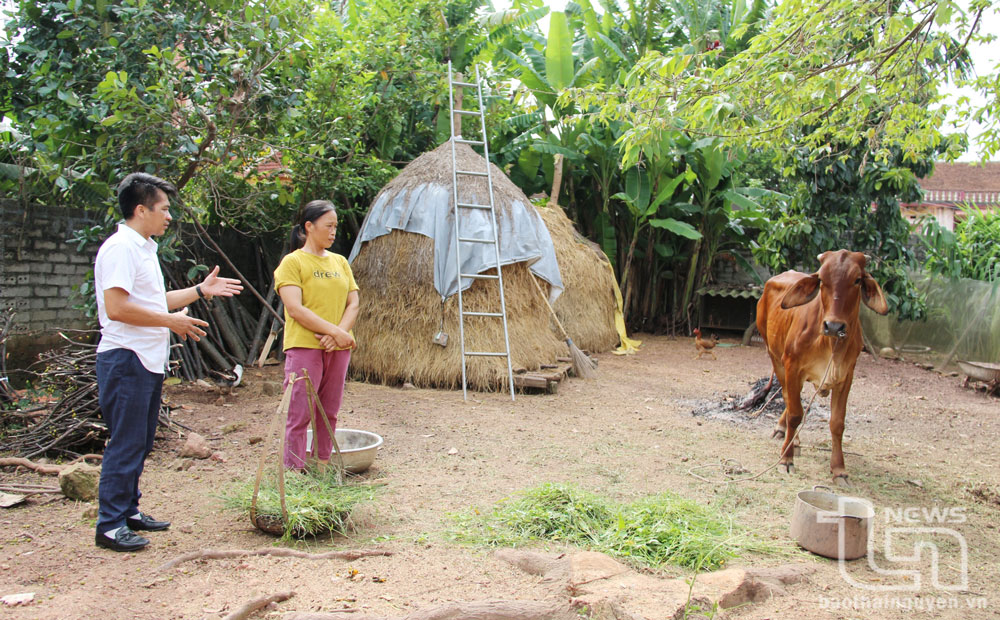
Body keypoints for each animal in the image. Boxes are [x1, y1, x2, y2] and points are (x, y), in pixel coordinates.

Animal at [752, 249, 888, 486]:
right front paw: (786, 459)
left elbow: (837, 423)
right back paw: (788, 437)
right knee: (788, 399)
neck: (831, 342)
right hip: (775, 357)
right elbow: (795, 414)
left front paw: (839, 469)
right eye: (822, 279)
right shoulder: (792, 366)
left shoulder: (846, 376)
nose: (833, 325)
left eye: (857, 279)